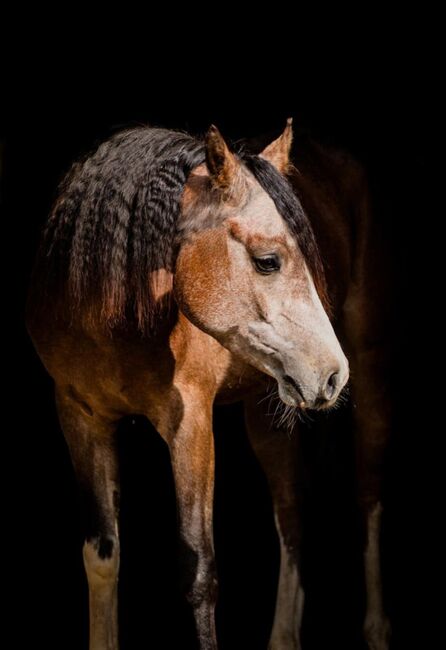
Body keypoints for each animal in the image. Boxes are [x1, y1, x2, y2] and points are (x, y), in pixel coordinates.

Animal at [26, 117, 358, 648]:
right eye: (268, 261)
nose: (332, 372)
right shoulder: (79, 418)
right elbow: (101, 556)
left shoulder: (191, 427)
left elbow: (199, 573)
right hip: (267, 409)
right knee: (290, 512)